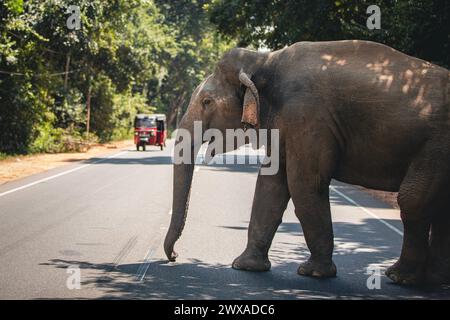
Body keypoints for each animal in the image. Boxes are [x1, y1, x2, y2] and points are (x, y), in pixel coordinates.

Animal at [163, 39, 450, 284]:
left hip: (435, 146)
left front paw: (312, 273)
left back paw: (399, 277)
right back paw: (435, 278)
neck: (263, 60)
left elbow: (304, 182)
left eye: (207, 101)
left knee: (412, 201)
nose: (174, 256)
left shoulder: (306, 115)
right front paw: (245, 267)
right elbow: (271, 183)